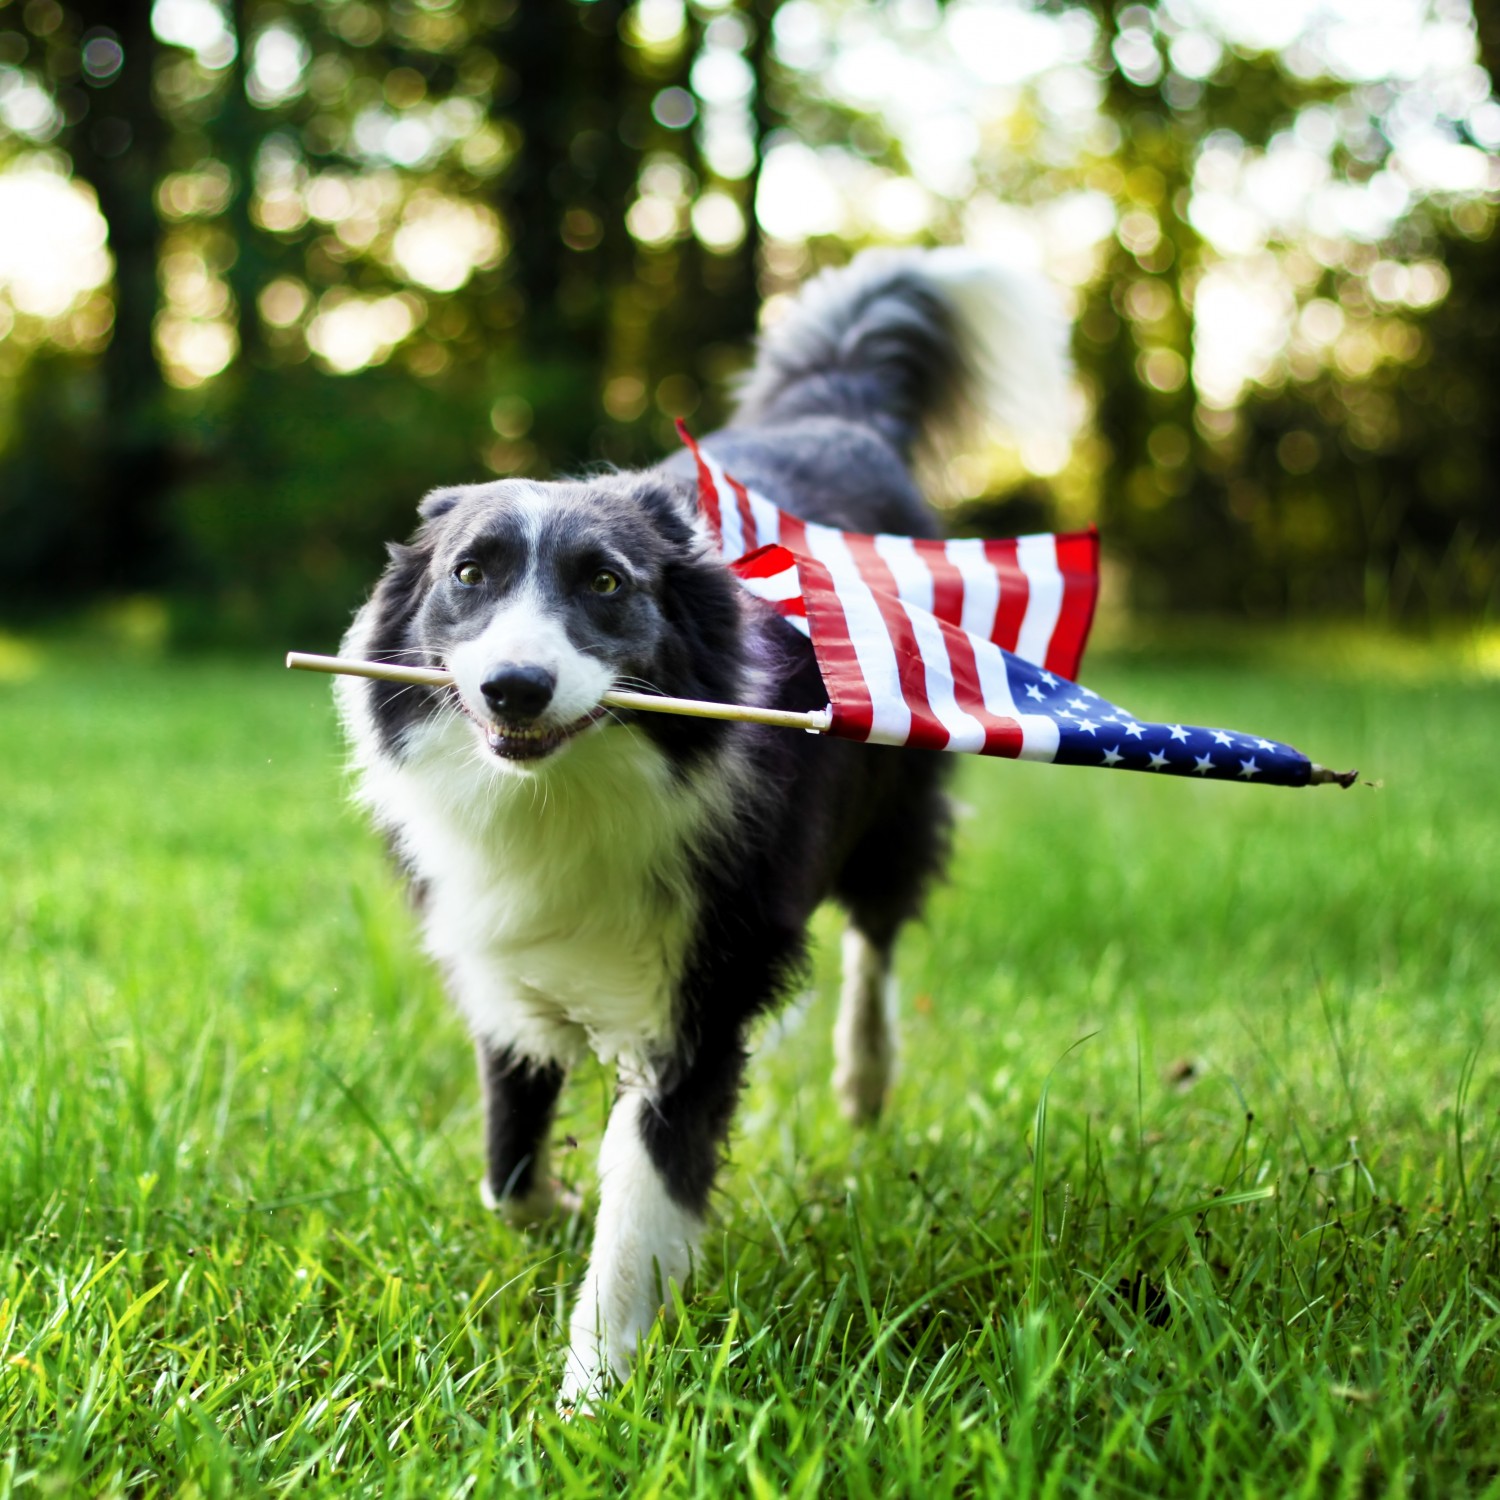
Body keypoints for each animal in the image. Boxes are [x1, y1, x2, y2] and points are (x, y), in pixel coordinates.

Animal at [337, 252, 1068, 1410]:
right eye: (470, 574)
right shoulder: (498, 954)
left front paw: (590, 1400)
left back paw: (865, 1077)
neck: (568, 789)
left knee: (877, 935)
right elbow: (507, 1167)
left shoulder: (700, 993)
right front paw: (554, 1211)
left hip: (897, 797)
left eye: (605, 583)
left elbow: (643, 1208)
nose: (513, 689)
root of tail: (834, 411)